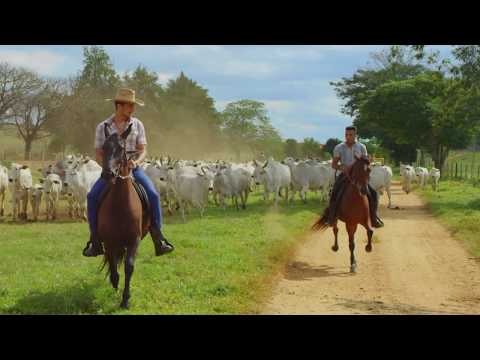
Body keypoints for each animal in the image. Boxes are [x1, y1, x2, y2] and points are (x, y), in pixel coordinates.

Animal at [97, 124, 150, 310]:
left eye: (121, 148)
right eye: (104, 147)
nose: (108, 174)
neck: (121, 205)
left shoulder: (134, 240)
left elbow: (129, 266)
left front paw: (125, 299)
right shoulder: (109, 240)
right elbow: (113, 264)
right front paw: (115, 283)